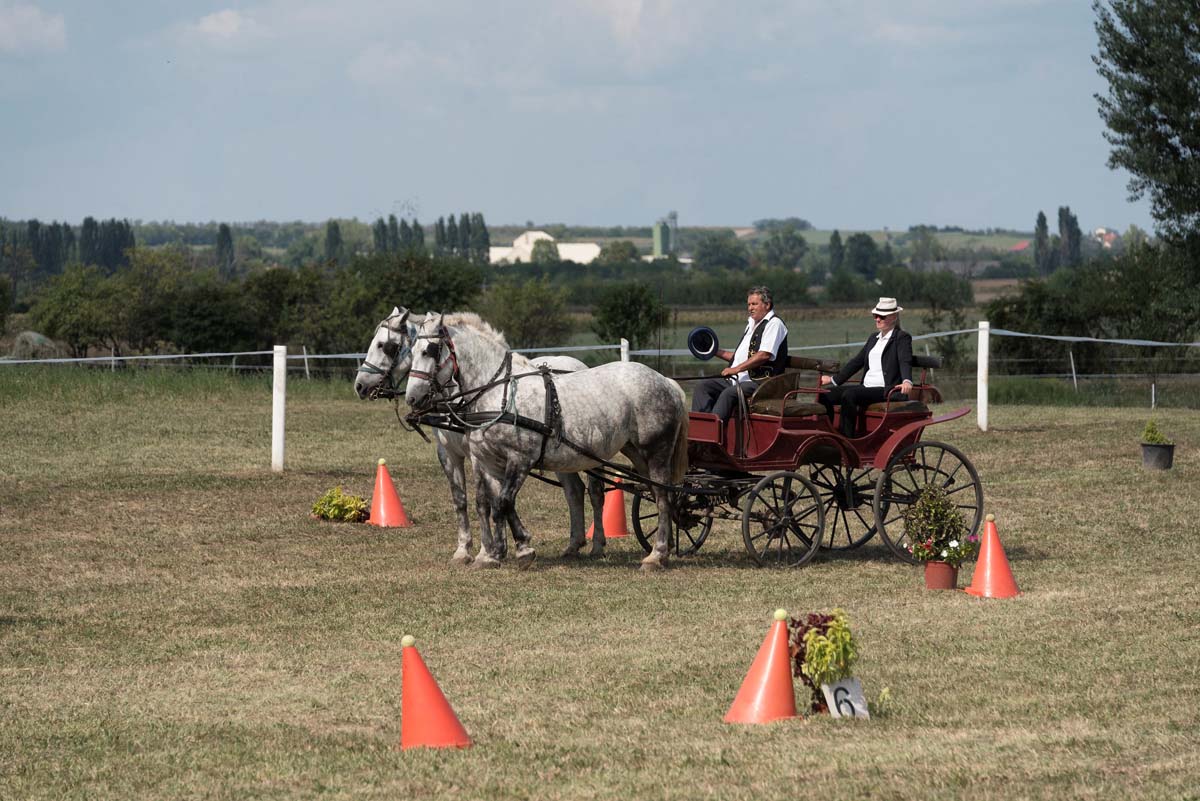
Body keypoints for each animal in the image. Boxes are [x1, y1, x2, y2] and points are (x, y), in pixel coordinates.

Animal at [352, 306, 600, 563]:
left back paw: (597, 545)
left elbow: (484, 501)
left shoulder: (477, 454)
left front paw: (487, 551)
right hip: (563, 457)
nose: (359, 385)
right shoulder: (449, 453)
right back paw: (573, 545)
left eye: (385, 345)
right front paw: (465, 550)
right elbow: (462, 500)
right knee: (574, 491)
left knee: (595, 491)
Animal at [403, 309, 691, 565]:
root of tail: (666, 381)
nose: (412, 398)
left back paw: (656, 555)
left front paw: (520, 551)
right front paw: (495, 554)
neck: (498, 392)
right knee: (653, 493)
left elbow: (503, 502)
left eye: (429, 350)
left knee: (661, 496)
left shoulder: (520, 459)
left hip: (656, 450)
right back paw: (662, 548)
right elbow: (497, 505)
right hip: (635, 451)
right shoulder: (488, 461)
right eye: (411, 352)